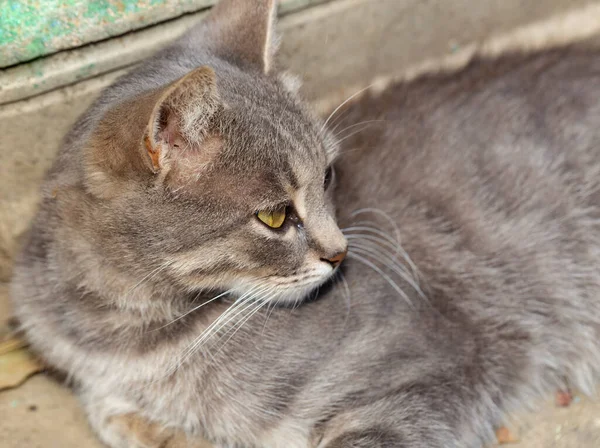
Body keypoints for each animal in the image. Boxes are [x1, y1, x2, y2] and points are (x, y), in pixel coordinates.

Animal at [8, 0, 600, 446]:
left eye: (329, 176)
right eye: (274, 215)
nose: (341, 253)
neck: (122, 337)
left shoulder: (432, 362)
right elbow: (111, 410)